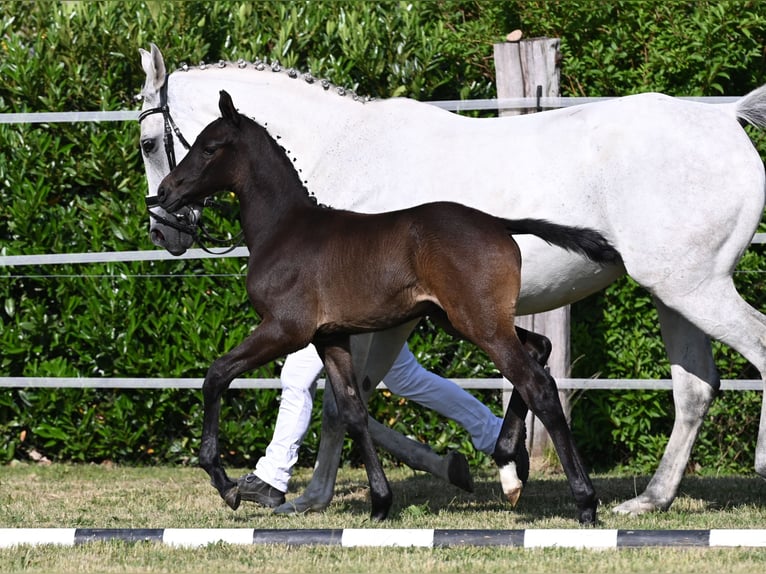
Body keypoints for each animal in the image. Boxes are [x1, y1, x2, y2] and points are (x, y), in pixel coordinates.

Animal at [156, 91, 624, 528]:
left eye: (209, 147)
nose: (164, 194)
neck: (284, 229)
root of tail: (497, 223)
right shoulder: (330, 336)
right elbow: (351, 410)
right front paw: (381, 503)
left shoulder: (285, 328)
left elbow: (217, 375)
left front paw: (225, 483)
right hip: (462, 319)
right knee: (539, 349)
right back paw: (509, 464)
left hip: (480, 324)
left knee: (537, 384)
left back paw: (584, 501)